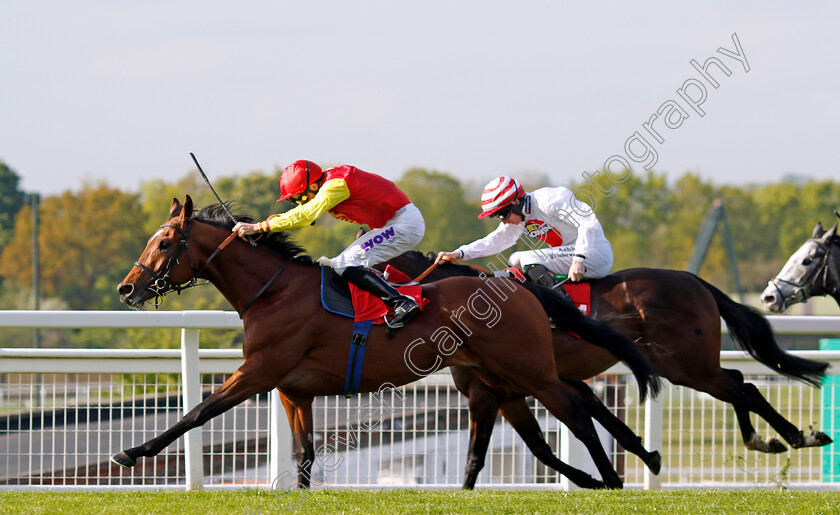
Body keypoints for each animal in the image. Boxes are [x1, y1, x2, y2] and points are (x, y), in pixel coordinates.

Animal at [111, 198, 664, 492]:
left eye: (165, 242)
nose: (126, 288)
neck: (274, 292)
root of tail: (518, 285)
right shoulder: (293, 391)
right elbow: (305, 453)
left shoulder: (259, 373)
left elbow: (196, 412)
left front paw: (131, 452)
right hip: (497, 376)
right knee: (557, 424)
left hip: (531, 370)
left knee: (578, 414)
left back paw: (613, 479)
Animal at [382, 252, 832, 490]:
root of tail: (695, 280)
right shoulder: (533, 385)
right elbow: (589, 422)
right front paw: (641, 458)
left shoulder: (495, 391)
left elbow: (488, 453)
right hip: (685, 364)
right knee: (740, 382)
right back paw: (766, 439)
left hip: (687, 366)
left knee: (745, 388)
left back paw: (796, 436)